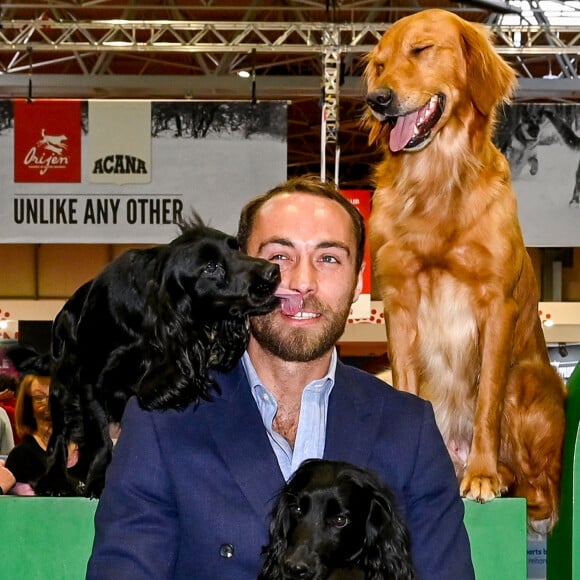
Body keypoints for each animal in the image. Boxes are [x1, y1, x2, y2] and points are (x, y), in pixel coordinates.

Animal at [34, 215, 280, 496]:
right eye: (210, 267)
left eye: (236, 248)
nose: (273, 271)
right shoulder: (90, 381)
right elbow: (101, 438)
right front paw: (100, 480)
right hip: (63, 384)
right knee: (60, 433)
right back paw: (55, 480)